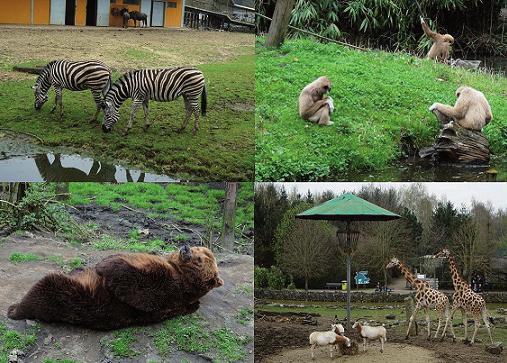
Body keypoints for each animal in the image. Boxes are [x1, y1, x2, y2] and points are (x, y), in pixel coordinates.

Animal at [6, 246, 223, 332]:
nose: (185, 248)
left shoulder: (168, 287)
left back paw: (14, 309)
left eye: (199, 258)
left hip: (70, 295)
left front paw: (104, 264)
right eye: (198, 247)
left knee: (44, 289)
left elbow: (138, 288)